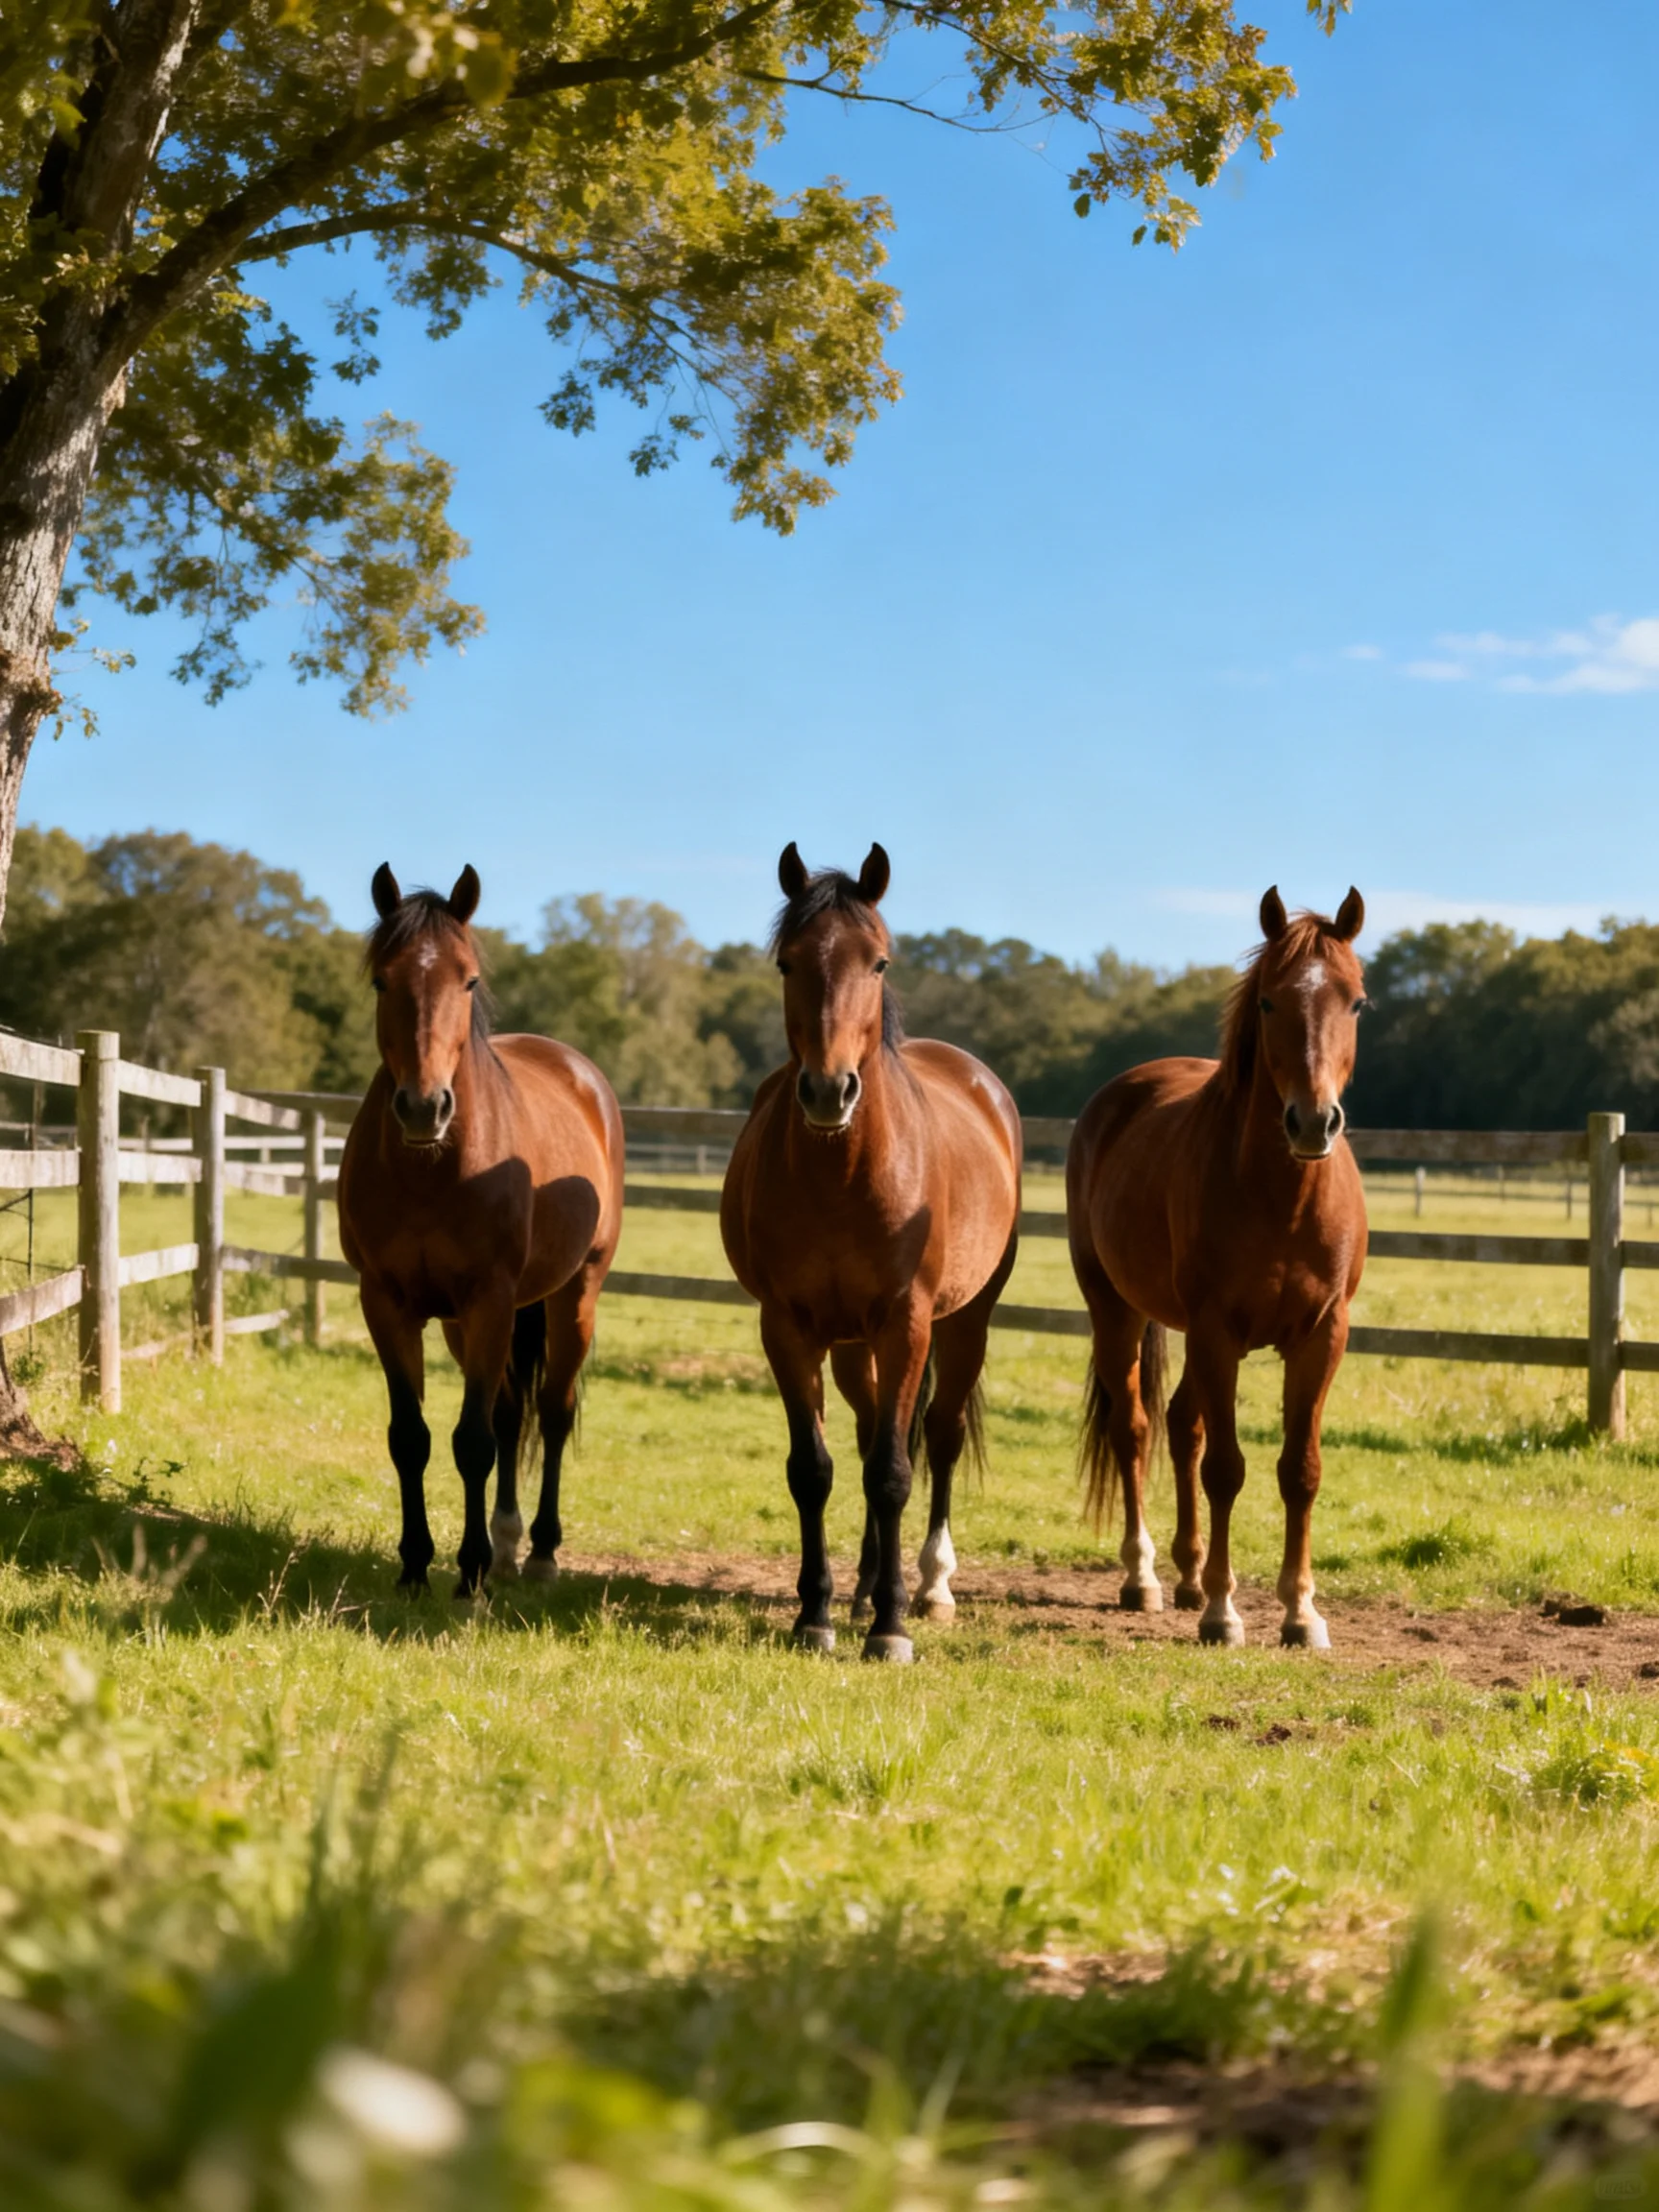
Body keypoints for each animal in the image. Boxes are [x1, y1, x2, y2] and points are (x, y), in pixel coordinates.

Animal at [337, 864, 625, 1600]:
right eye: (382, 980)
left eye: (466, 980)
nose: (424, 1107)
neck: (434, 1169)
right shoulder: (387, 1303)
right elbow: (411, 1436)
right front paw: (415, 1565)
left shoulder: (490, 1299)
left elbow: (472, 1442)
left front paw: (467, 1576)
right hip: (467, 1323)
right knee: (508, 1411)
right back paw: (505, 1543)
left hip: (571, 1295)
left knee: (551, 1410)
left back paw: (541, 1551)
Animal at [720, 842, 1023, 1662]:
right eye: (788, 962)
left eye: (879, 961)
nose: (830, 1092)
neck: (844, 1174)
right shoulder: (787, 1328)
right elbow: (815, 1469)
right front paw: (816, 1614)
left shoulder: (907, 1323)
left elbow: (893, 1472)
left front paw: (890, 1629)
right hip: (855, 1346)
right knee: (863, 1436)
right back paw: (859, 1589)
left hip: (964, 1324)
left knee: (938, 1439)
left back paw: (930, 1586)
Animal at [1065, 886, 1369, 1650]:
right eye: (1268, 1001)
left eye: (1356, 1002)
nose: (1313, 1122)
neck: (1281, 1196)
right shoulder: (1215, 1332)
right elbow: (1226, 1469)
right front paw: (1225, 1613)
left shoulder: (1322, 1336)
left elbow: (1300, 1470)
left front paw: (1300, 1612)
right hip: (1116, 1311)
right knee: (1137, 1429)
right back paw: (1144, 1578)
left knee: (1181, 1425)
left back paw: (1189, 1574)